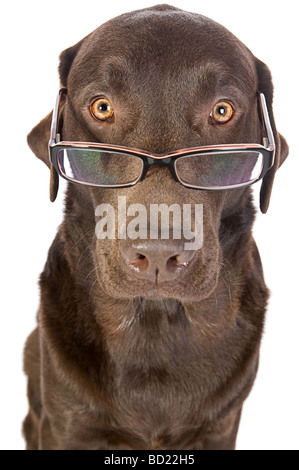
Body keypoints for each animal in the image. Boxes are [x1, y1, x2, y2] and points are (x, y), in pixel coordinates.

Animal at [22, 4, 288, 452]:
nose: (159, 253)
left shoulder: (221, 425)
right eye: (102, 108)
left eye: (222, 111)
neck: (155, 322)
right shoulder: (66, 425)